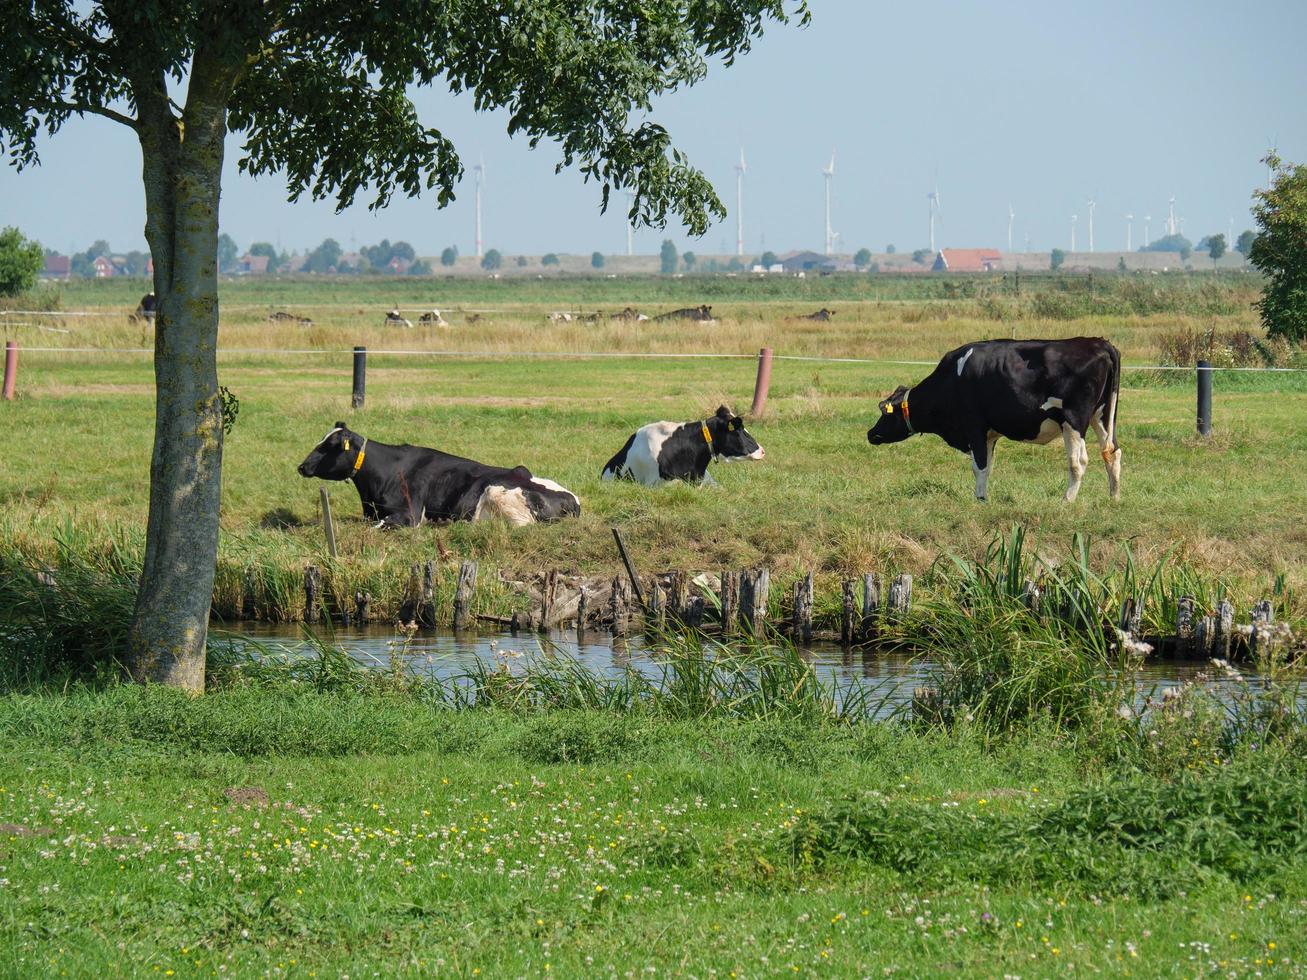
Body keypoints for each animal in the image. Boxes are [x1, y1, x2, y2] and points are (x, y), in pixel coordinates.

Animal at [299, 423, 585, 530]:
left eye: (328, 446)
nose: (301, 467)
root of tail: (572, 501)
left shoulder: (411, 513)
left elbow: (379, 526)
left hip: (498, 494)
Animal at [867, 339, 1124, 506]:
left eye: (885, 412)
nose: (871, 433)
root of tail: (1098, 343)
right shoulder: (989, 434)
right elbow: (988, 466)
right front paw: (983, 496)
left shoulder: (974, 427)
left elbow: (979, 466)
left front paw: (980, 500)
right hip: (1102, 415)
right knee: (1111, 452)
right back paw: (1114, 497)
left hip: (1073, 420)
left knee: (1078, 461)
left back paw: (1067, 500)